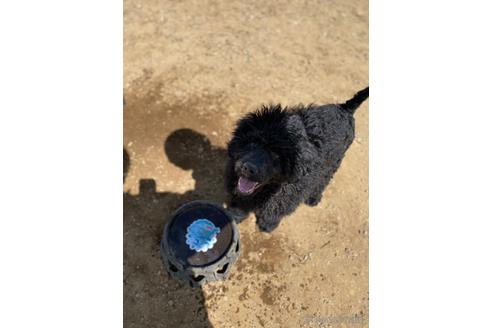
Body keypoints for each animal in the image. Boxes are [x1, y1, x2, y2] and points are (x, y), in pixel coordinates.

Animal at [225, 86, 368, 232]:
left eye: (276, 154)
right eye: (252, 142)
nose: (248, 168)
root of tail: (346, 108)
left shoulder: (288, 194)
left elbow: (275, 210)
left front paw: (267, 225)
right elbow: (240, 202)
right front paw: (234, 215)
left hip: (333, 163)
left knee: (323, 181)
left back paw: (313, 198)